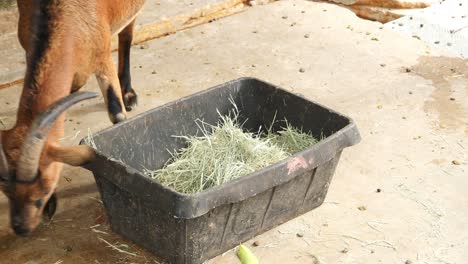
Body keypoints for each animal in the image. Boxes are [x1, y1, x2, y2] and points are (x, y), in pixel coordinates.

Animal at [0, 0, 146, 235]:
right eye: (4, 188)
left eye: (45, 186)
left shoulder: (102, 55)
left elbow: (117, 114)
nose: (21, 227)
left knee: (127, 33)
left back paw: (129, 93)